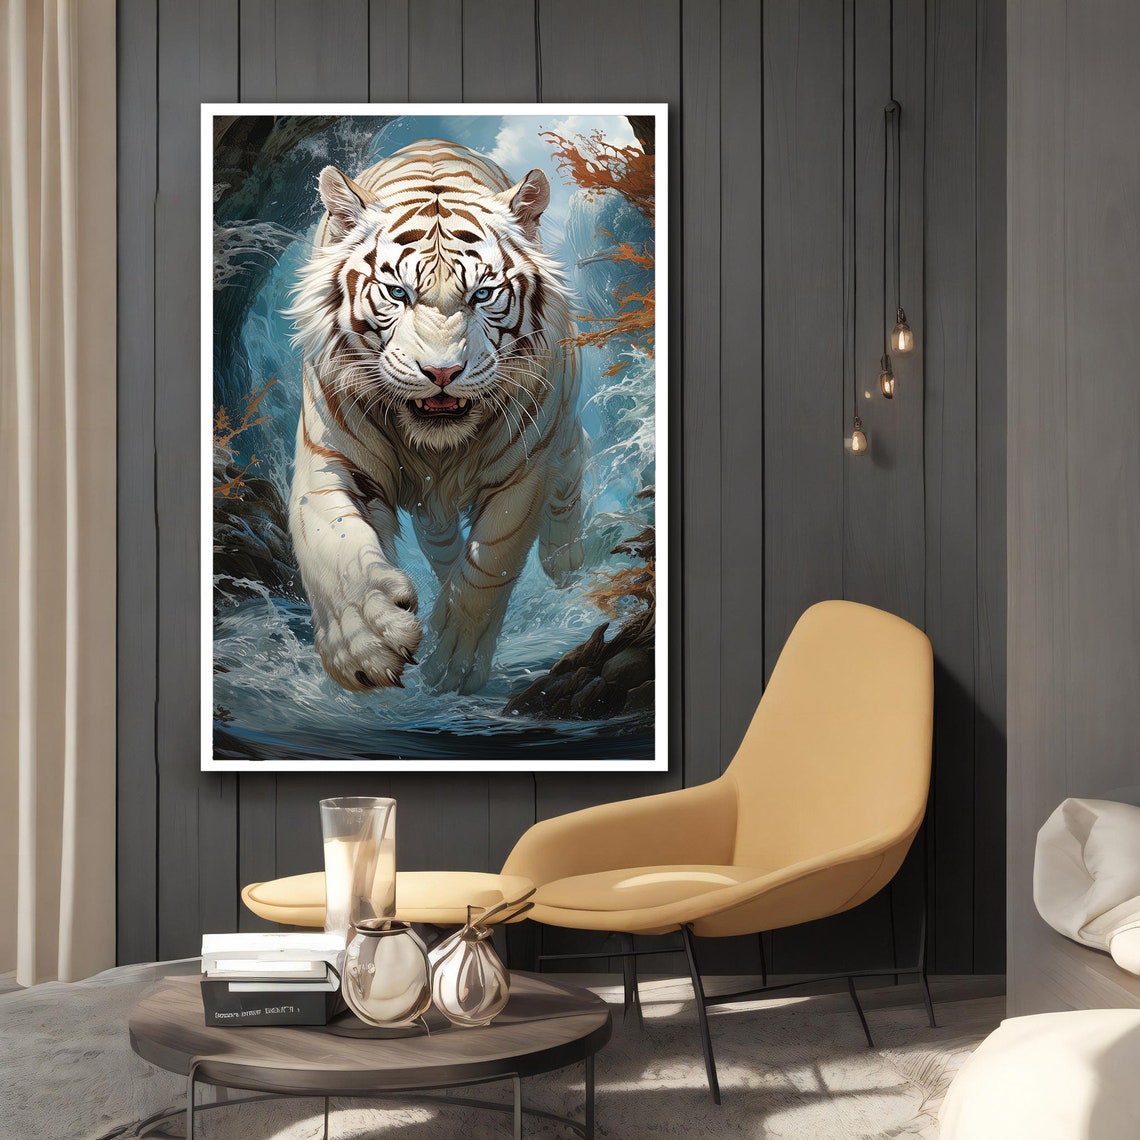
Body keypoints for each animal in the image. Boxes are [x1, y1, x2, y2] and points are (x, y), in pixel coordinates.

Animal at [287, 139, 586, 695]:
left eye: (482, 295)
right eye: (397, 293)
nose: (442, 371)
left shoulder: (523, 471)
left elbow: (491, 564)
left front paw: (455, 663)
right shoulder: (328, 460)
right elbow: (332, 546)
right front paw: (364, 643)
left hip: (562, 420)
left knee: (574, 464)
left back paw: (566, 559)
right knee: (440, 541)